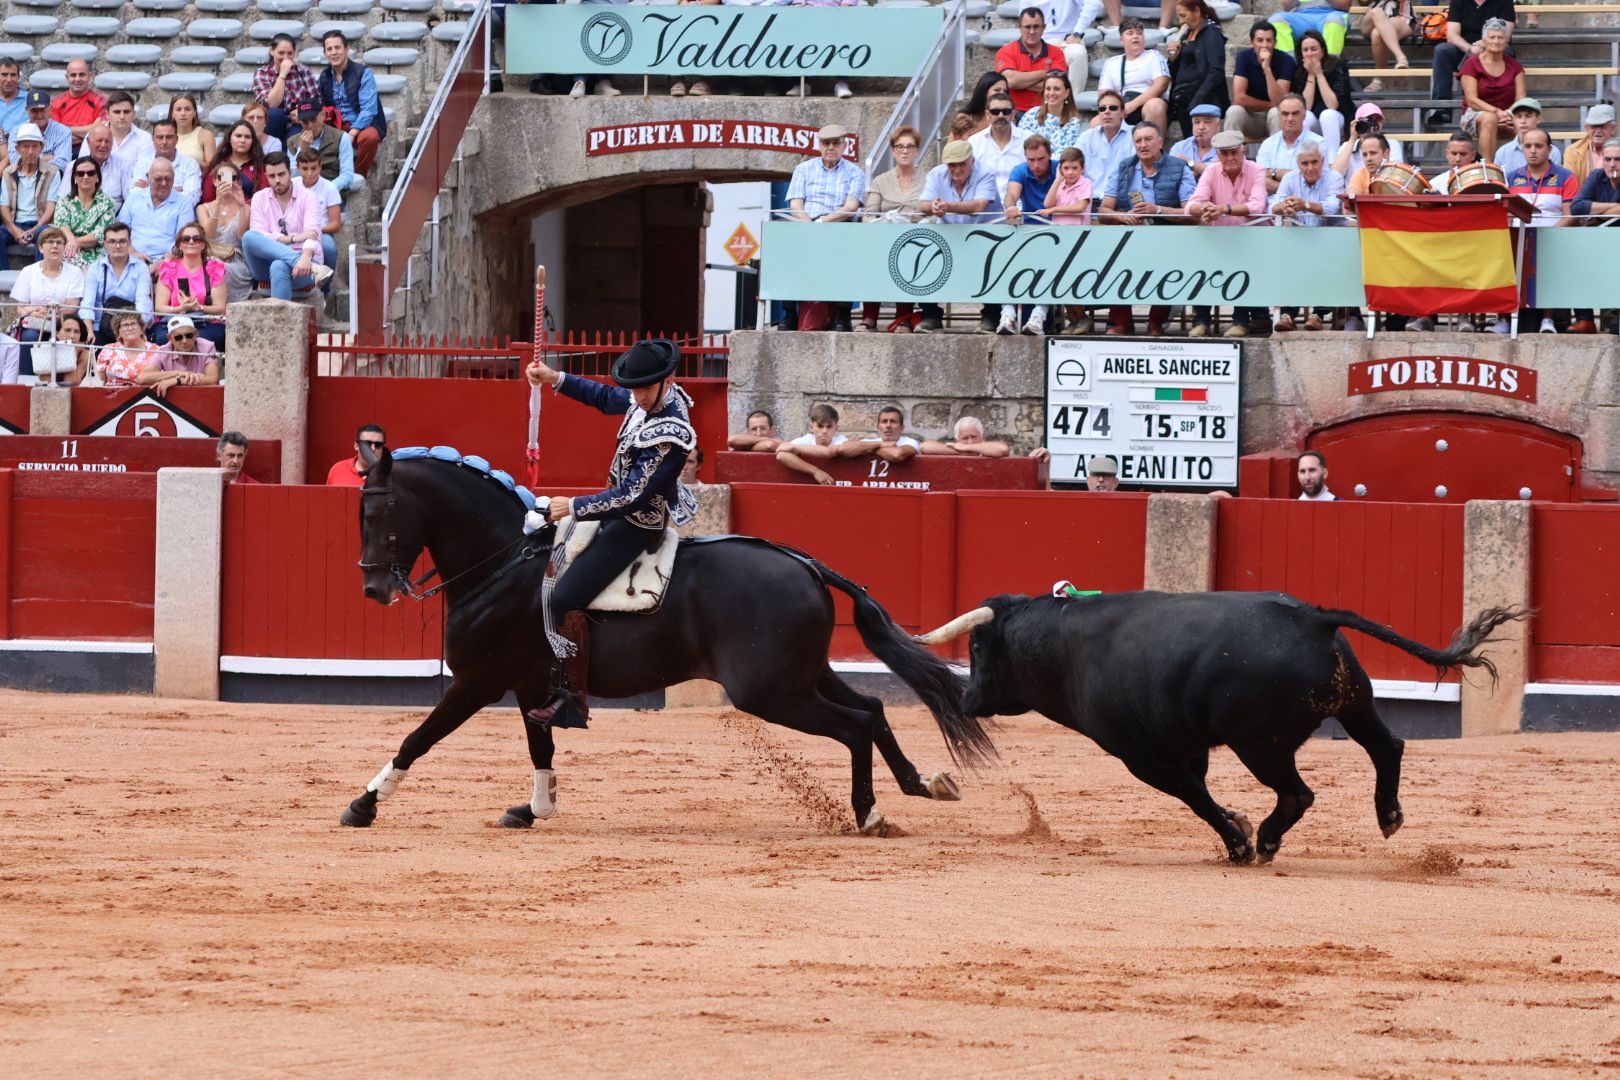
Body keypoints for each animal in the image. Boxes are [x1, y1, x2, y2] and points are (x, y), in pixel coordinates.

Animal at [343, 446, 997, 835]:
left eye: (377, 514)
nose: (373, 587)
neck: (505, 560)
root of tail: (804, 563)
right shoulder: (530, 685)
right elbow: (540, 748)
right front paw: (535, 808)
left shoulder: (477, 681)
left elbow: (418, 738)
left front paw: (364, 804)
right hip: (803, 675)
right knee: (875, 707)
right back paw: (921, 784)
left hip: (770, 691)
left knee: (856, 724)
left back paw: (869, 814)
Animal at [920, 586, 1522, 867]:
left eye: (978, 646)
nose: (967, 699)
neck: (1064, 646)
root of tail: (1311, 616)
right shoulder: (1188, 743)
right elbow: (1203, 790)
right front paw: (1237, 825)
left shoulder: (1141, 755)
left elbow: (1193, 796)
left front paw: (1238, 841)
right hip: (1354, 705)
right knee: (1387, 745)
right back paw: (1388, 816)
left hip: (1261, 744)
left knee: (1298, 793)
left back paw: (1269, 841)